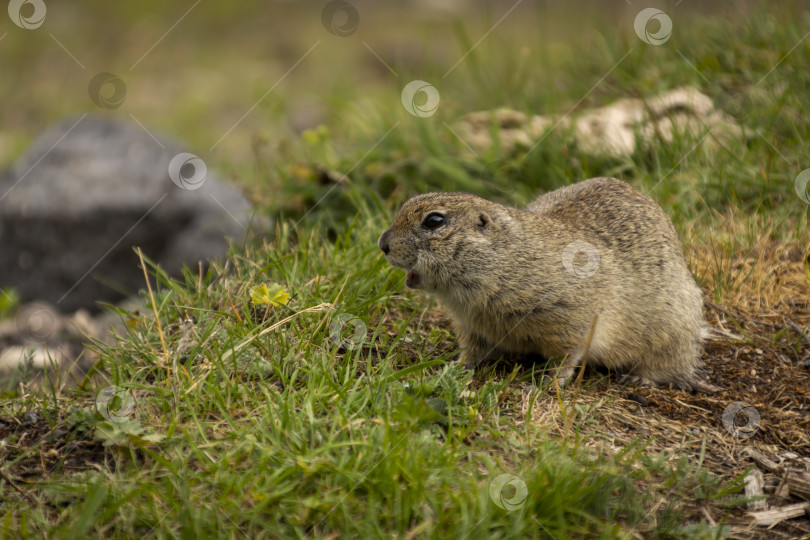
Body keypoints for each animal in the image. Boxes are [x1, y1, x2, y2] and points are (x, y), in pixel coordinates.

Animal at [376, 179, 704, 390]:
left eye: (434, 221)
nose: (382, 244)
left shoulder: (573, 320)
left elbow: (567, 357)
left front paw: (546, 384)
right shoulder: (471, 326)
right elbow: (471, 351)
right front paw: (455, 367)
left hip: (672, 333)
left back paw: (642, 378)